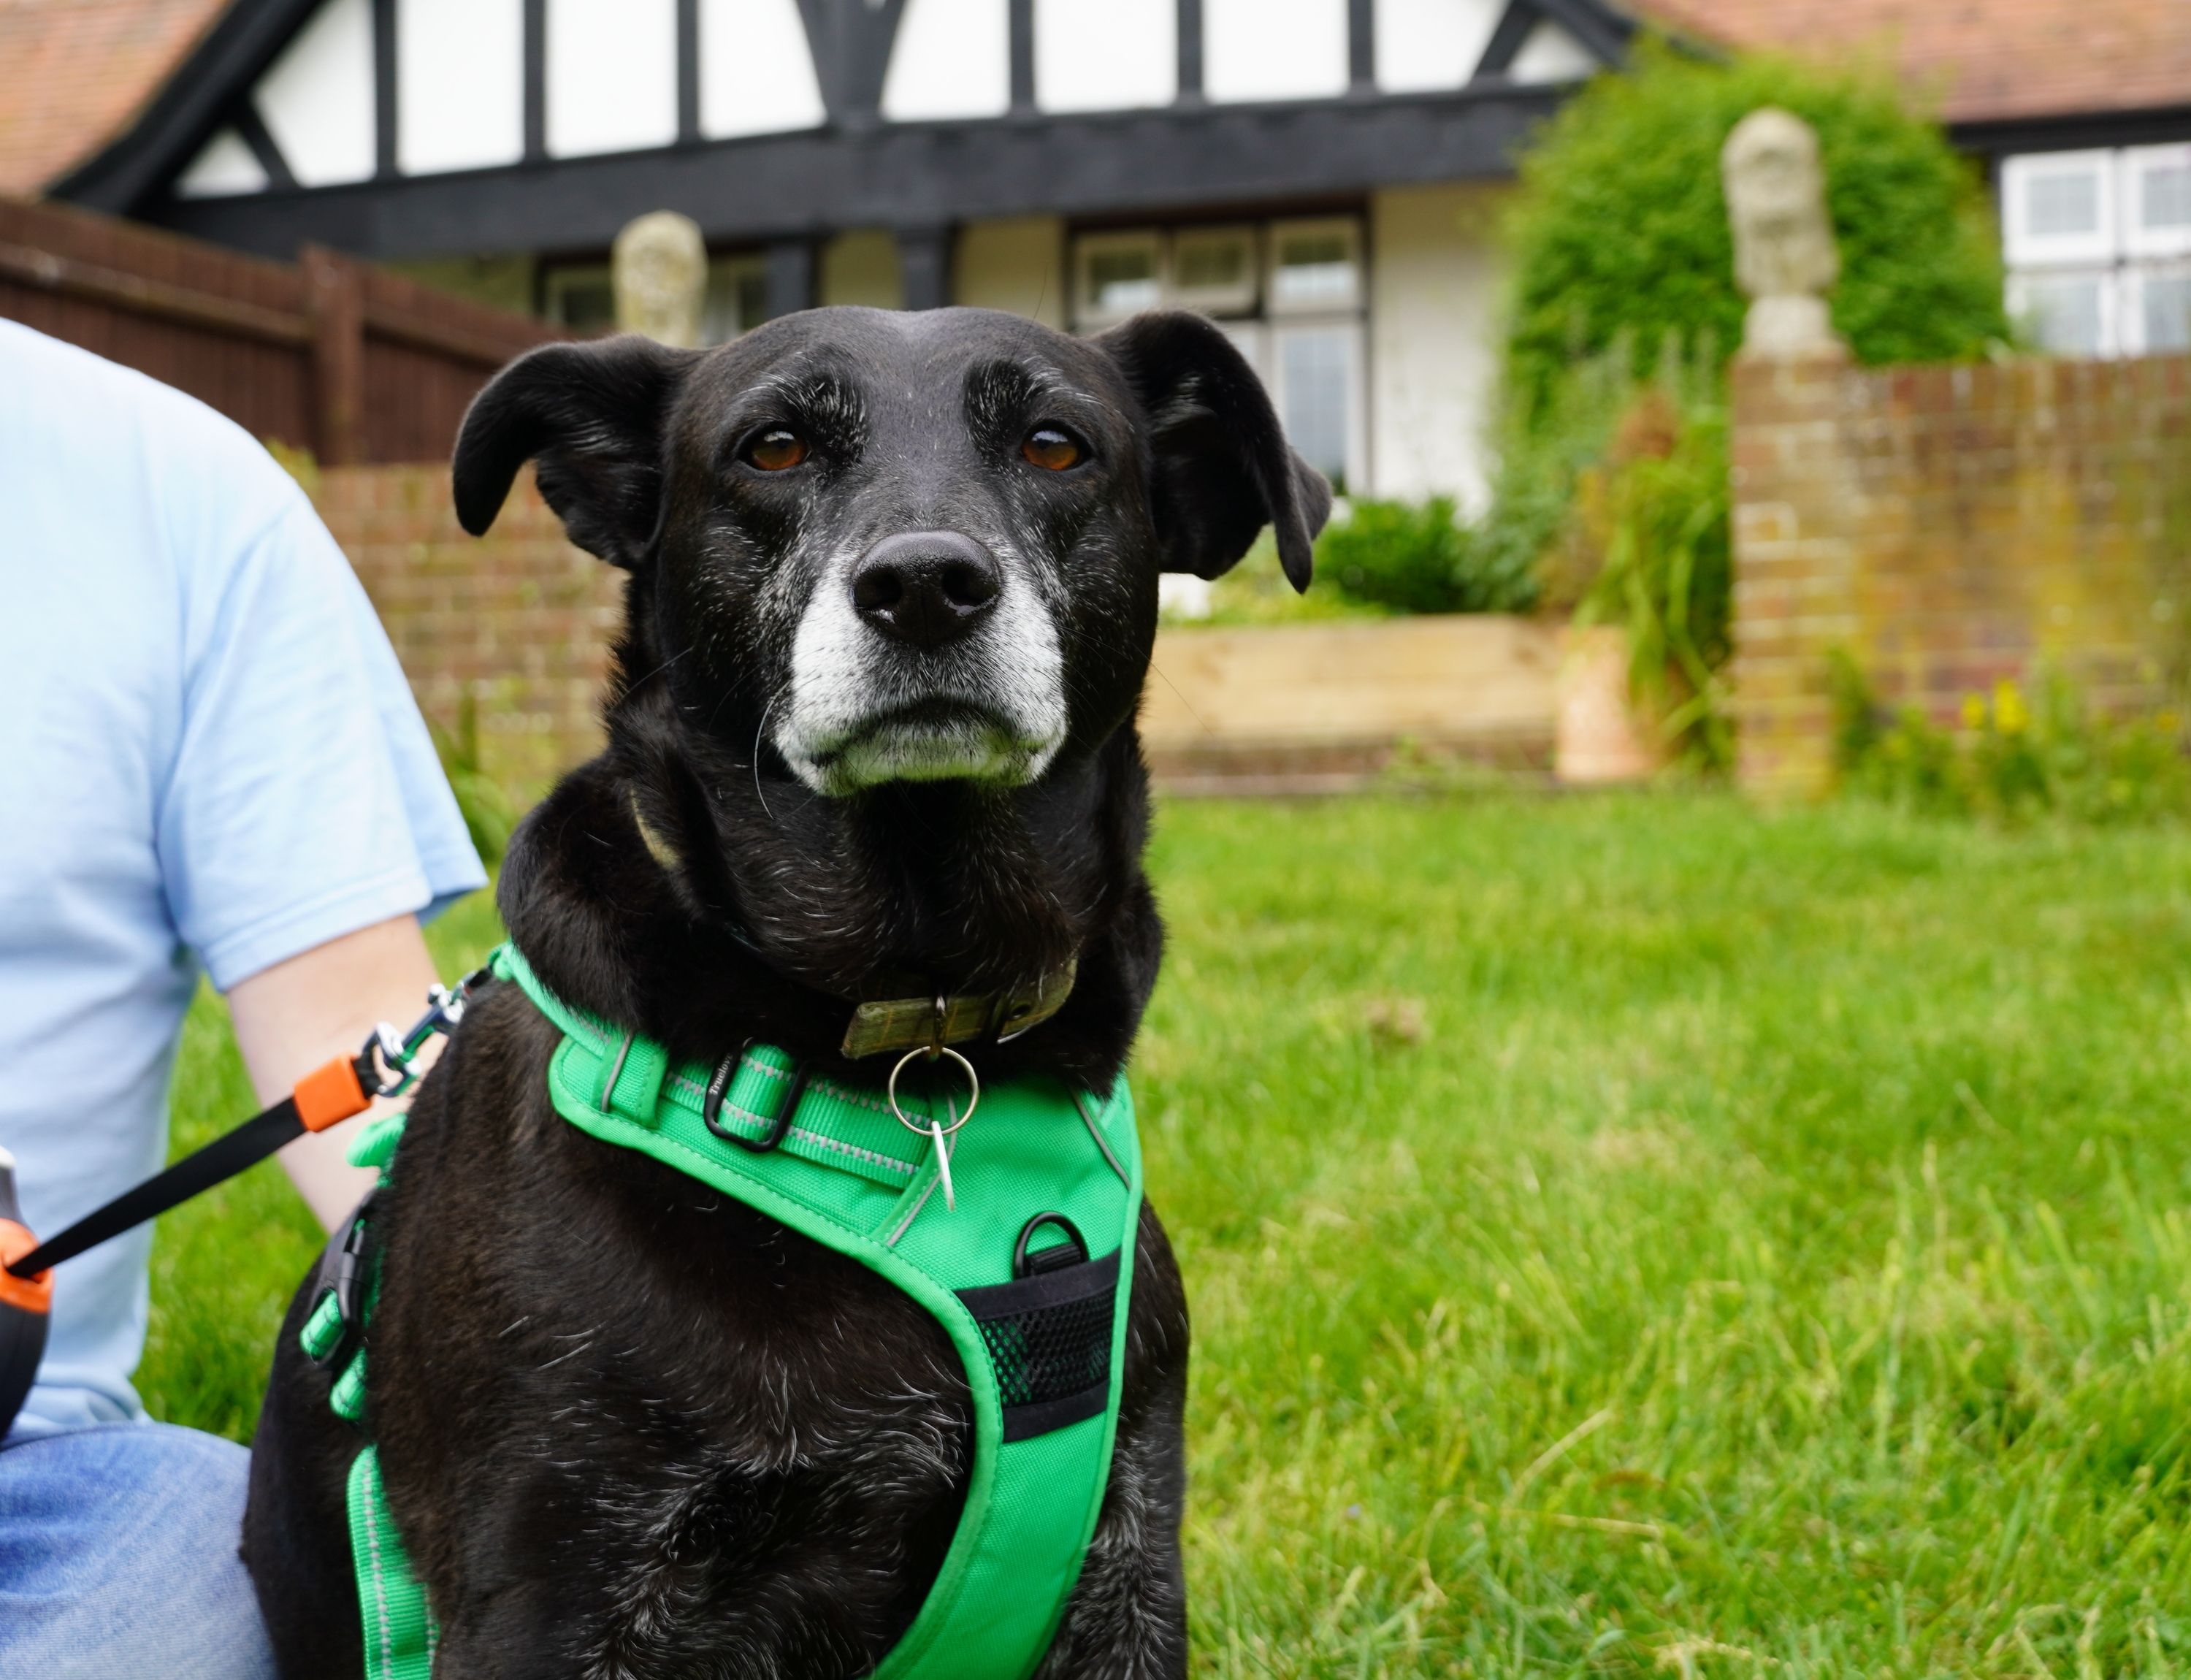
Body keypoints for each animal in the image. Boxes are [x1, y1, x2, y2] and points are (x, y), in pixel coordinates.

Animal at [248, 306, 1323, 1680]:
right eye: (773, 447)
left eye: (1055, 444)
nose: (924, 587)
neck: (915, 1031)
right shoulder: (552, 1595)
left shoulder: (1123, 1566)